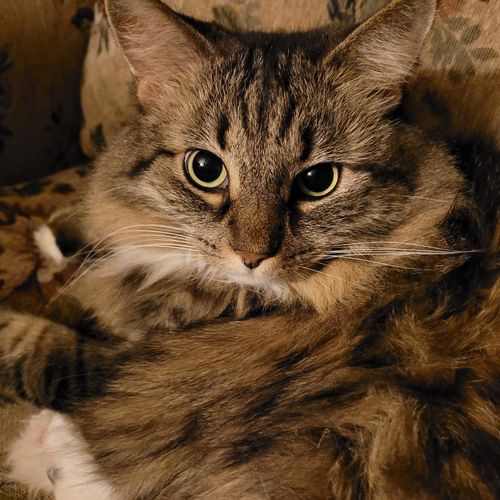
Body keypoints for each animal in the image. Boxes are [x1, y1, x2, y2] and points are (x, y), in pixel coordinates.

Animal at [0, 0, 500, 498]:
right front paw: (56, 236)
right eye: (205, 168)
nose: (252, 256)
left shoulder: (134, 361)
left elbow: (36, 345)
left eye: (319, 180)